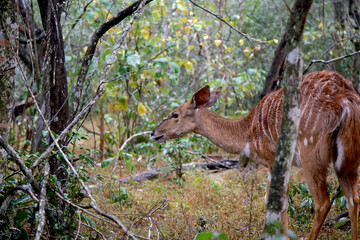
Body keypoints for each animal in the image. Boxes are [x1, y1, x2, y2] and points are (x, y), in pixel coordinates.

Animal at [150, 70, 360, 239]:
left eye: (174, 114)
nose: (153, 133)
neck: (247, 133)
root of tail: (345, 99)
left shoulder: (273, 158)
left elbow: (275, 201)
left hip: (312, 155)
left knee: (323, 201)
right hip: (347, 160)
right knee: (353, 199)